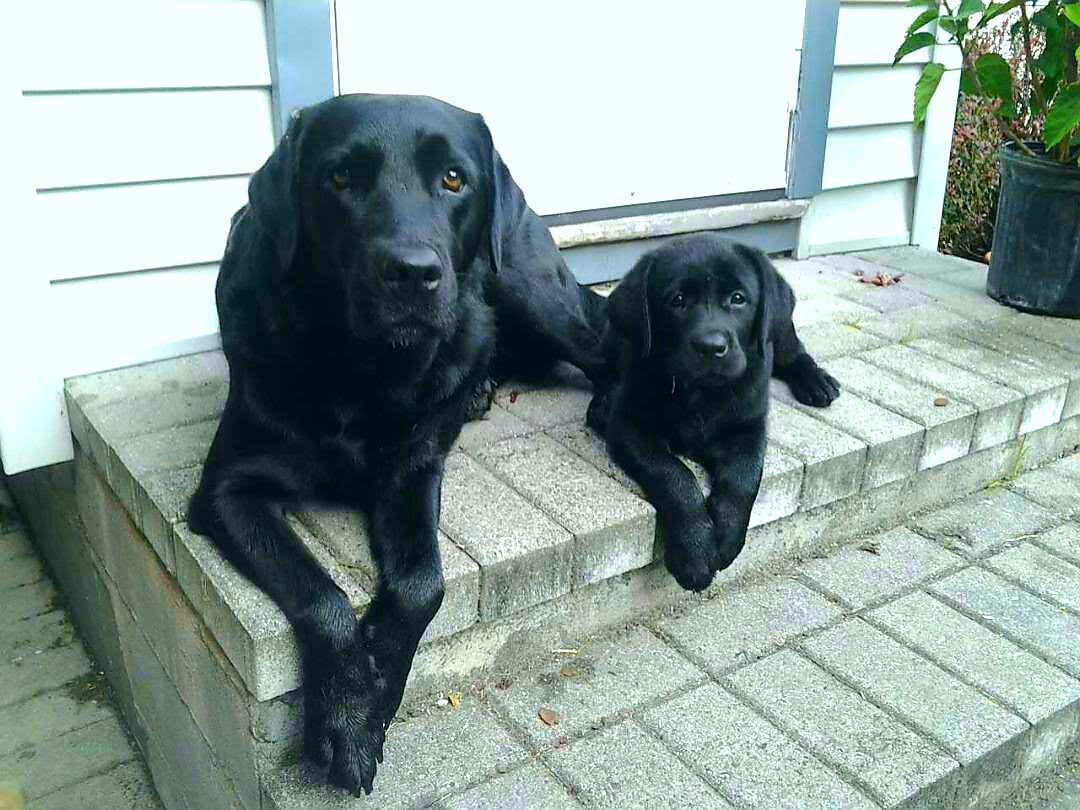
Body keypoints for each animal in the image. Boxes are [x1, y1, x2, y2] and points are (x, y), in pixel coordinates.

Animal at [186, 91, 609, 794]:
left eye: (454, 178)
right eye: (339, 178)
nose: (412, 273)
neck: (362, 373)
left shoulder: (413, 469)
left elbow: (421, 583)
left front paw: (373, 700)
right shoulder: (226, 490)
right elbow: (320, 594)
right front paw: (348, 711)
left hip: (529, 291)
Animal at [587, 231, 838, 591]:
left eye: (738, 298)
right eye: (677, 300)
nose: (711, 347)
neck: (700, 393)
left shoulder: (749, 427)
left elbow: (743, 477)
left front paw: (728, 536)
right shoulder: (630, 427)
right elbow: (674, 474)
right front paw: (694, 551)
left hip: (780, 332)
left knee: (795, 352)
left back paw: (816, 381)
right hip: (610, 338)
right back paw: (602, 404)